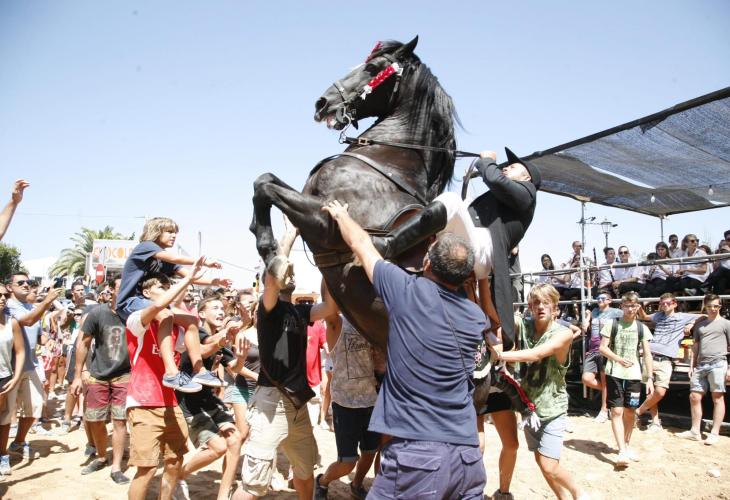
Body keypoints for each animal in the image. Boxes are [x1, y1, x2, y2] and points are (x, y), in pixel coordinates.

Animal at [250, 36, 456, 348]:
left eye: (372, 68)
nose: (322, 102)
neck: (388, 160)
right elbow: (264, 179)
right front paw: (270, 248)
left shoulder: (326, 225)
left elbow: (266, 189)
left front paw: (270, 254)